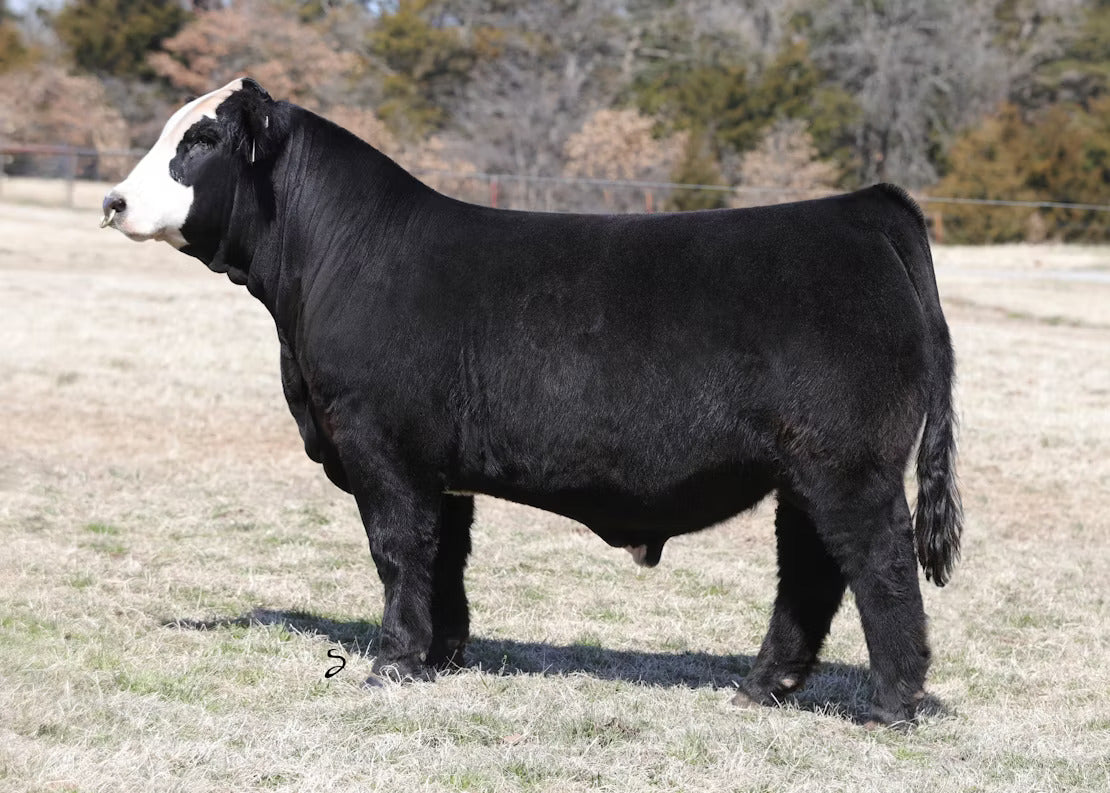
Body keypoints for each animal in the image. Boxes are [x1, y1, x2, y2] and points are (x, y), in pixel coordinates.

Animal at [102, 78, 962, 727]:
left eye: (202, 140)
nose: (112, 202)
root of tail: (861, 207)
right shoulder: (437, 466)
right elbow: (444, 554)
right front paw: (441, 656)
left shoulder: (382, 445)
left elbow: (397, 550)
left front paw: (391, 662)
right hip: (805, 471)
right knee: (810, 572)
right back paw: (760, 686)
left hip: (849, 467)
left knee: (880, 566)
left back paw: (890, 704)